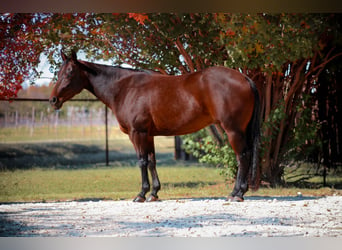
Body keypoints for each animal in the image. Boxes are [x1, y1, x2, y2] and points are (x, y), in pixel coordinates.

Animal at [50, 50, 260, 201]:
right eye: (59, 72)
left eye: (69, 72)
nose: (53, 100)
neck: (125, 88)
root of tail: (244, 78)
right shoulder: (148, 134)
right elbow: (152, 161)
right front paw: (154, 193)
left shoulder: (137, 133)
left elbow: (142, 161)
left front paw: (141, 194)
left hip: (233, 130)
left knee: (242, 156)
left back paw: (236, 194)